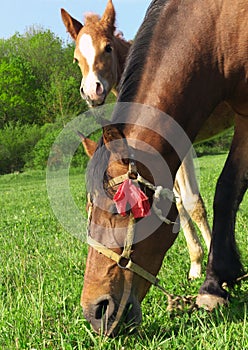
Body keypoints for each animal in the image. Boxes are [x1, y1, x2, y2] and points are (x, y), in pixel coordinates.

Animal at [61, 0, 214, 278]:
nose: (92, 91)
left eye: (108, 47)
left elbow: (191, 202)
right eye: (76, 58)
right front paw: (196, 265)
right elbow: (176, 202)